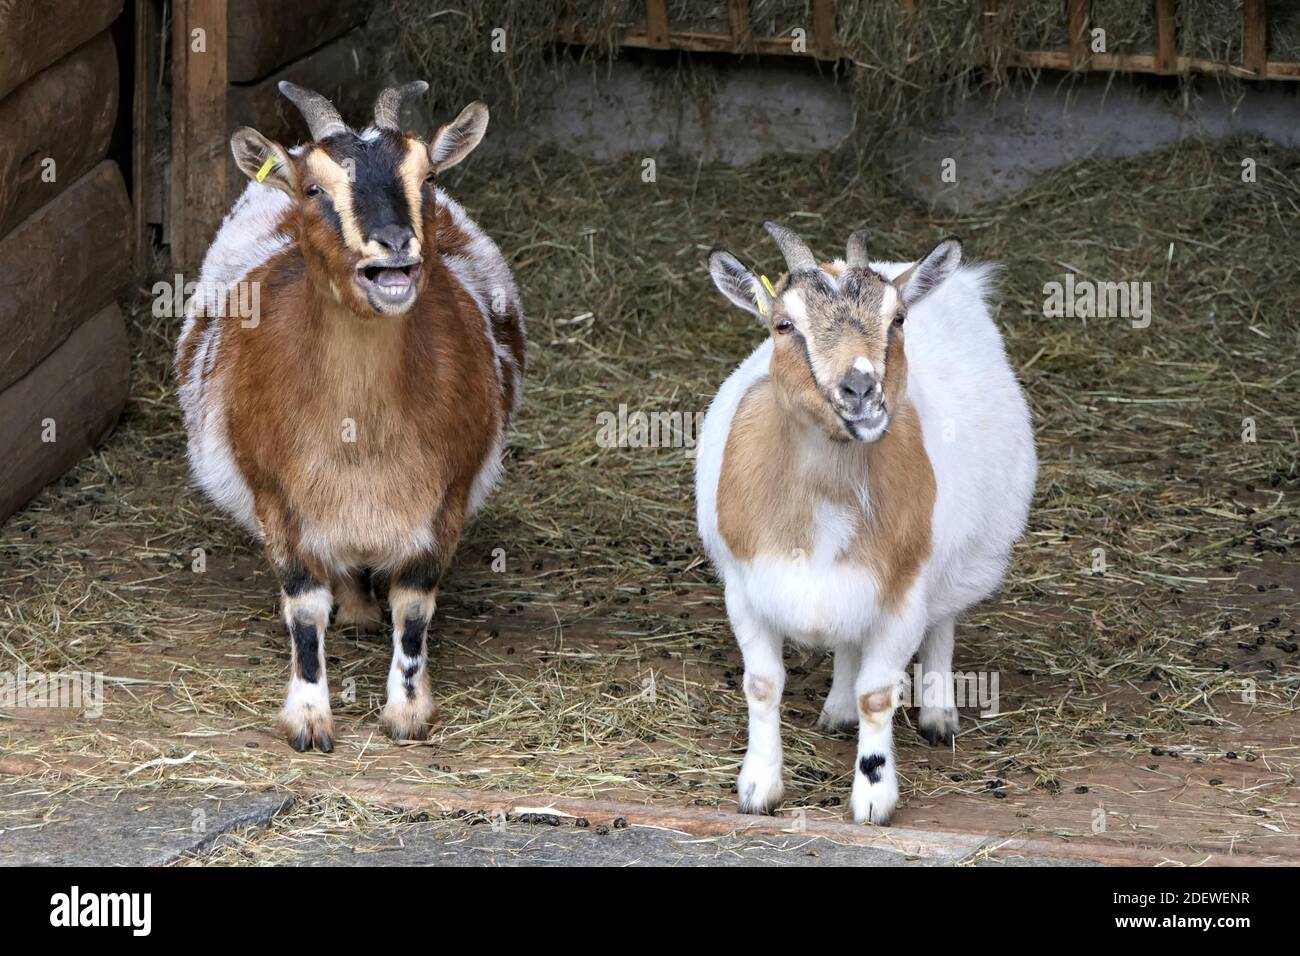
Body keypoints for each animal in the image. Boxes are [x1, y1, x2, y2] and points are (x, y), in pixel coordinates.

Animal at [696, 222, 1040, 822]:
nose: (860, 390)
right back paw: (836, 710)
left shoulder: (903, 594)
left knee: (944, 620)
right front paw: (758, 786)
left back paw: (938, 714)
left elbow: (878, 694)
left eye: (898, 320)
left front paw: (875, 797)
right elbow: (762, 684)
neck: (824, 502)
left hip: (959, 560)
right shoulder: (745, 587)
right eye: (783, 324)